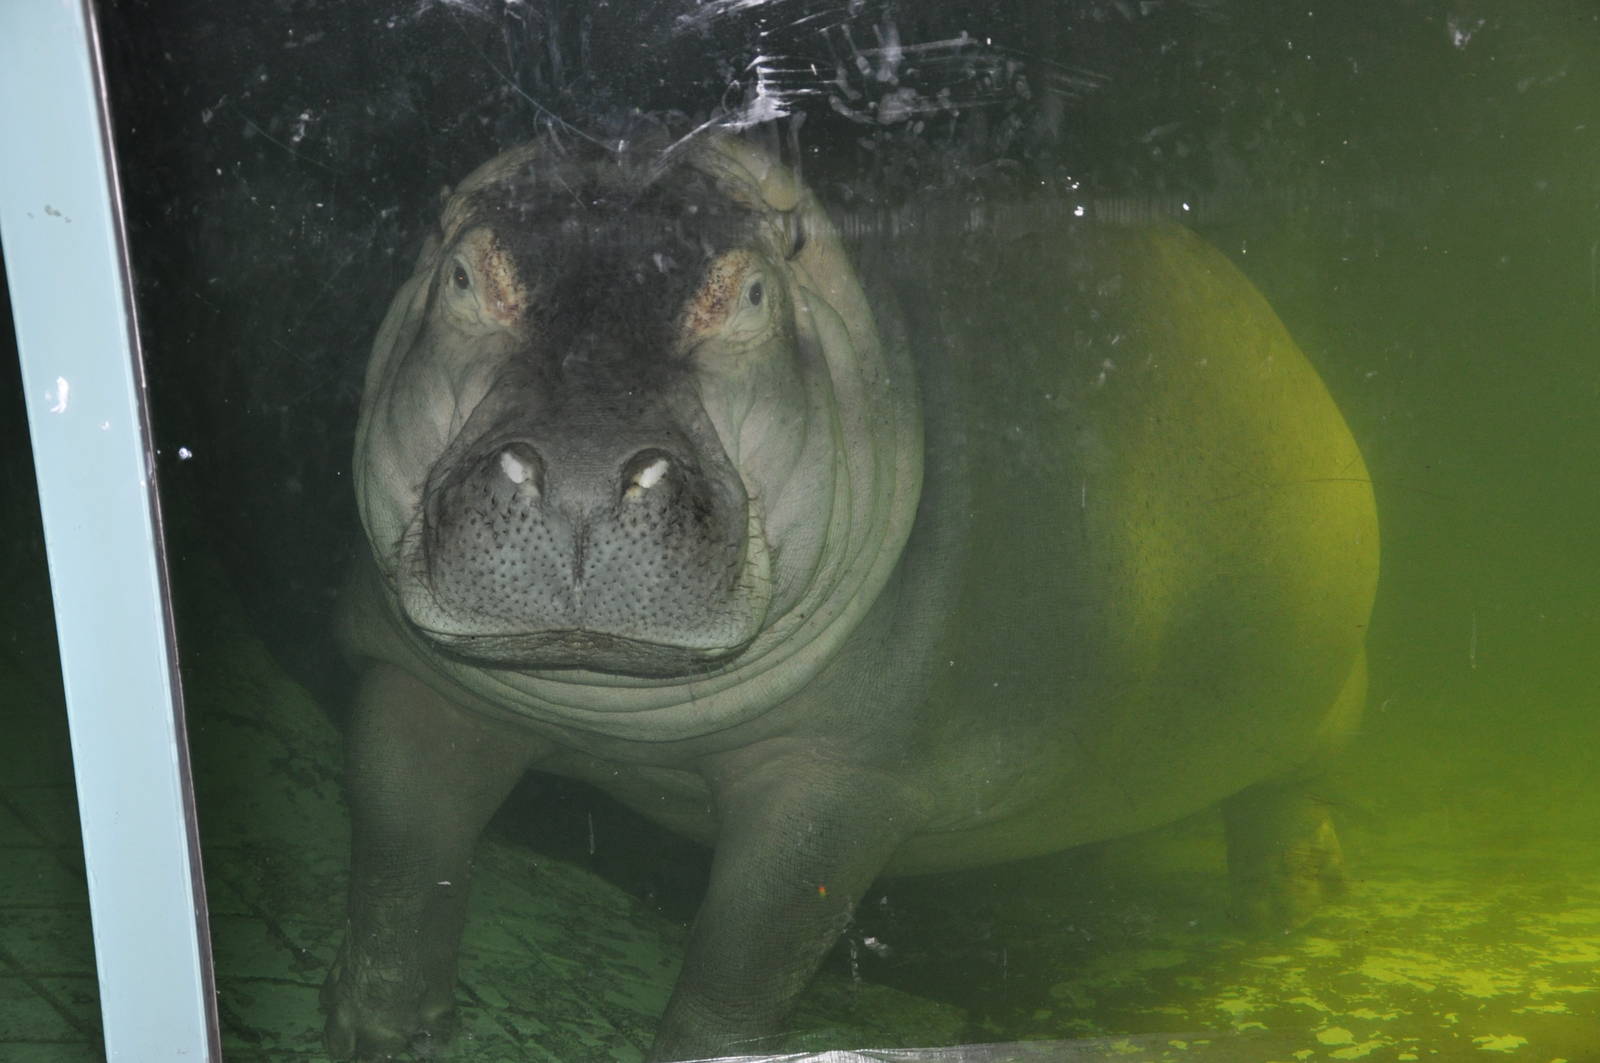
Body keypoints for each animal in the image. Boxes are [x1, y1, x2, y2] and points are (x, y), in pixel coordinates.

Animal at [321, 135, 1379, 1061]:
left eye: (751, 295)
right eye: (462, 277)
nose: (581, 475)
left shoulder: (838, 774)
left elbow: (746, 961)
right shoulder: (416, 682)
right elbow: (399, 868)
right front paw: (382, 1031)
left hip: (1324, 698)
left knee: (1288, 786)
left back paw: (1294, 899)